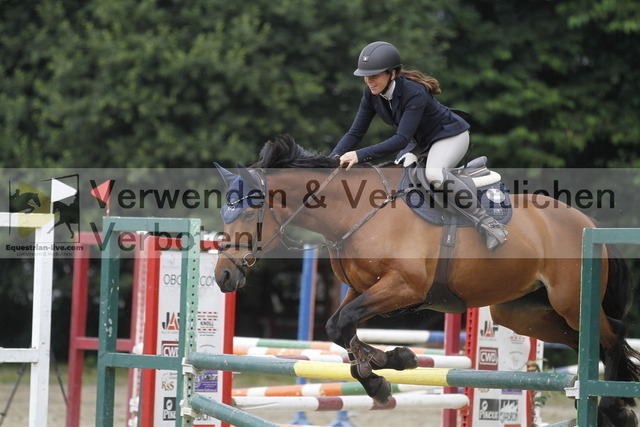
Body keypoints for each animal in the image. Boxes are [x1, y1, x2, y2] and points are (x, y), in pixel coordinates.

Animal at [213, 135, 640, 426]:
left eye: (248, 212)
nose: (222, 276)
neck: (353, 213)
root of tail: (586, 222)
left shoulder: (404, 287)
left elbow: (340, 325)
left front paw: (388, 366)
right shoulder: (362, 288)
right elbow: (340, 329)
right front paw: (386, 369)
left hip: (570, 301)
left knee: (613, 333)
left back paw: (616, 406)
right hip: (523, 313)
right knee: (587, 340)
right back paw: (606, 405)